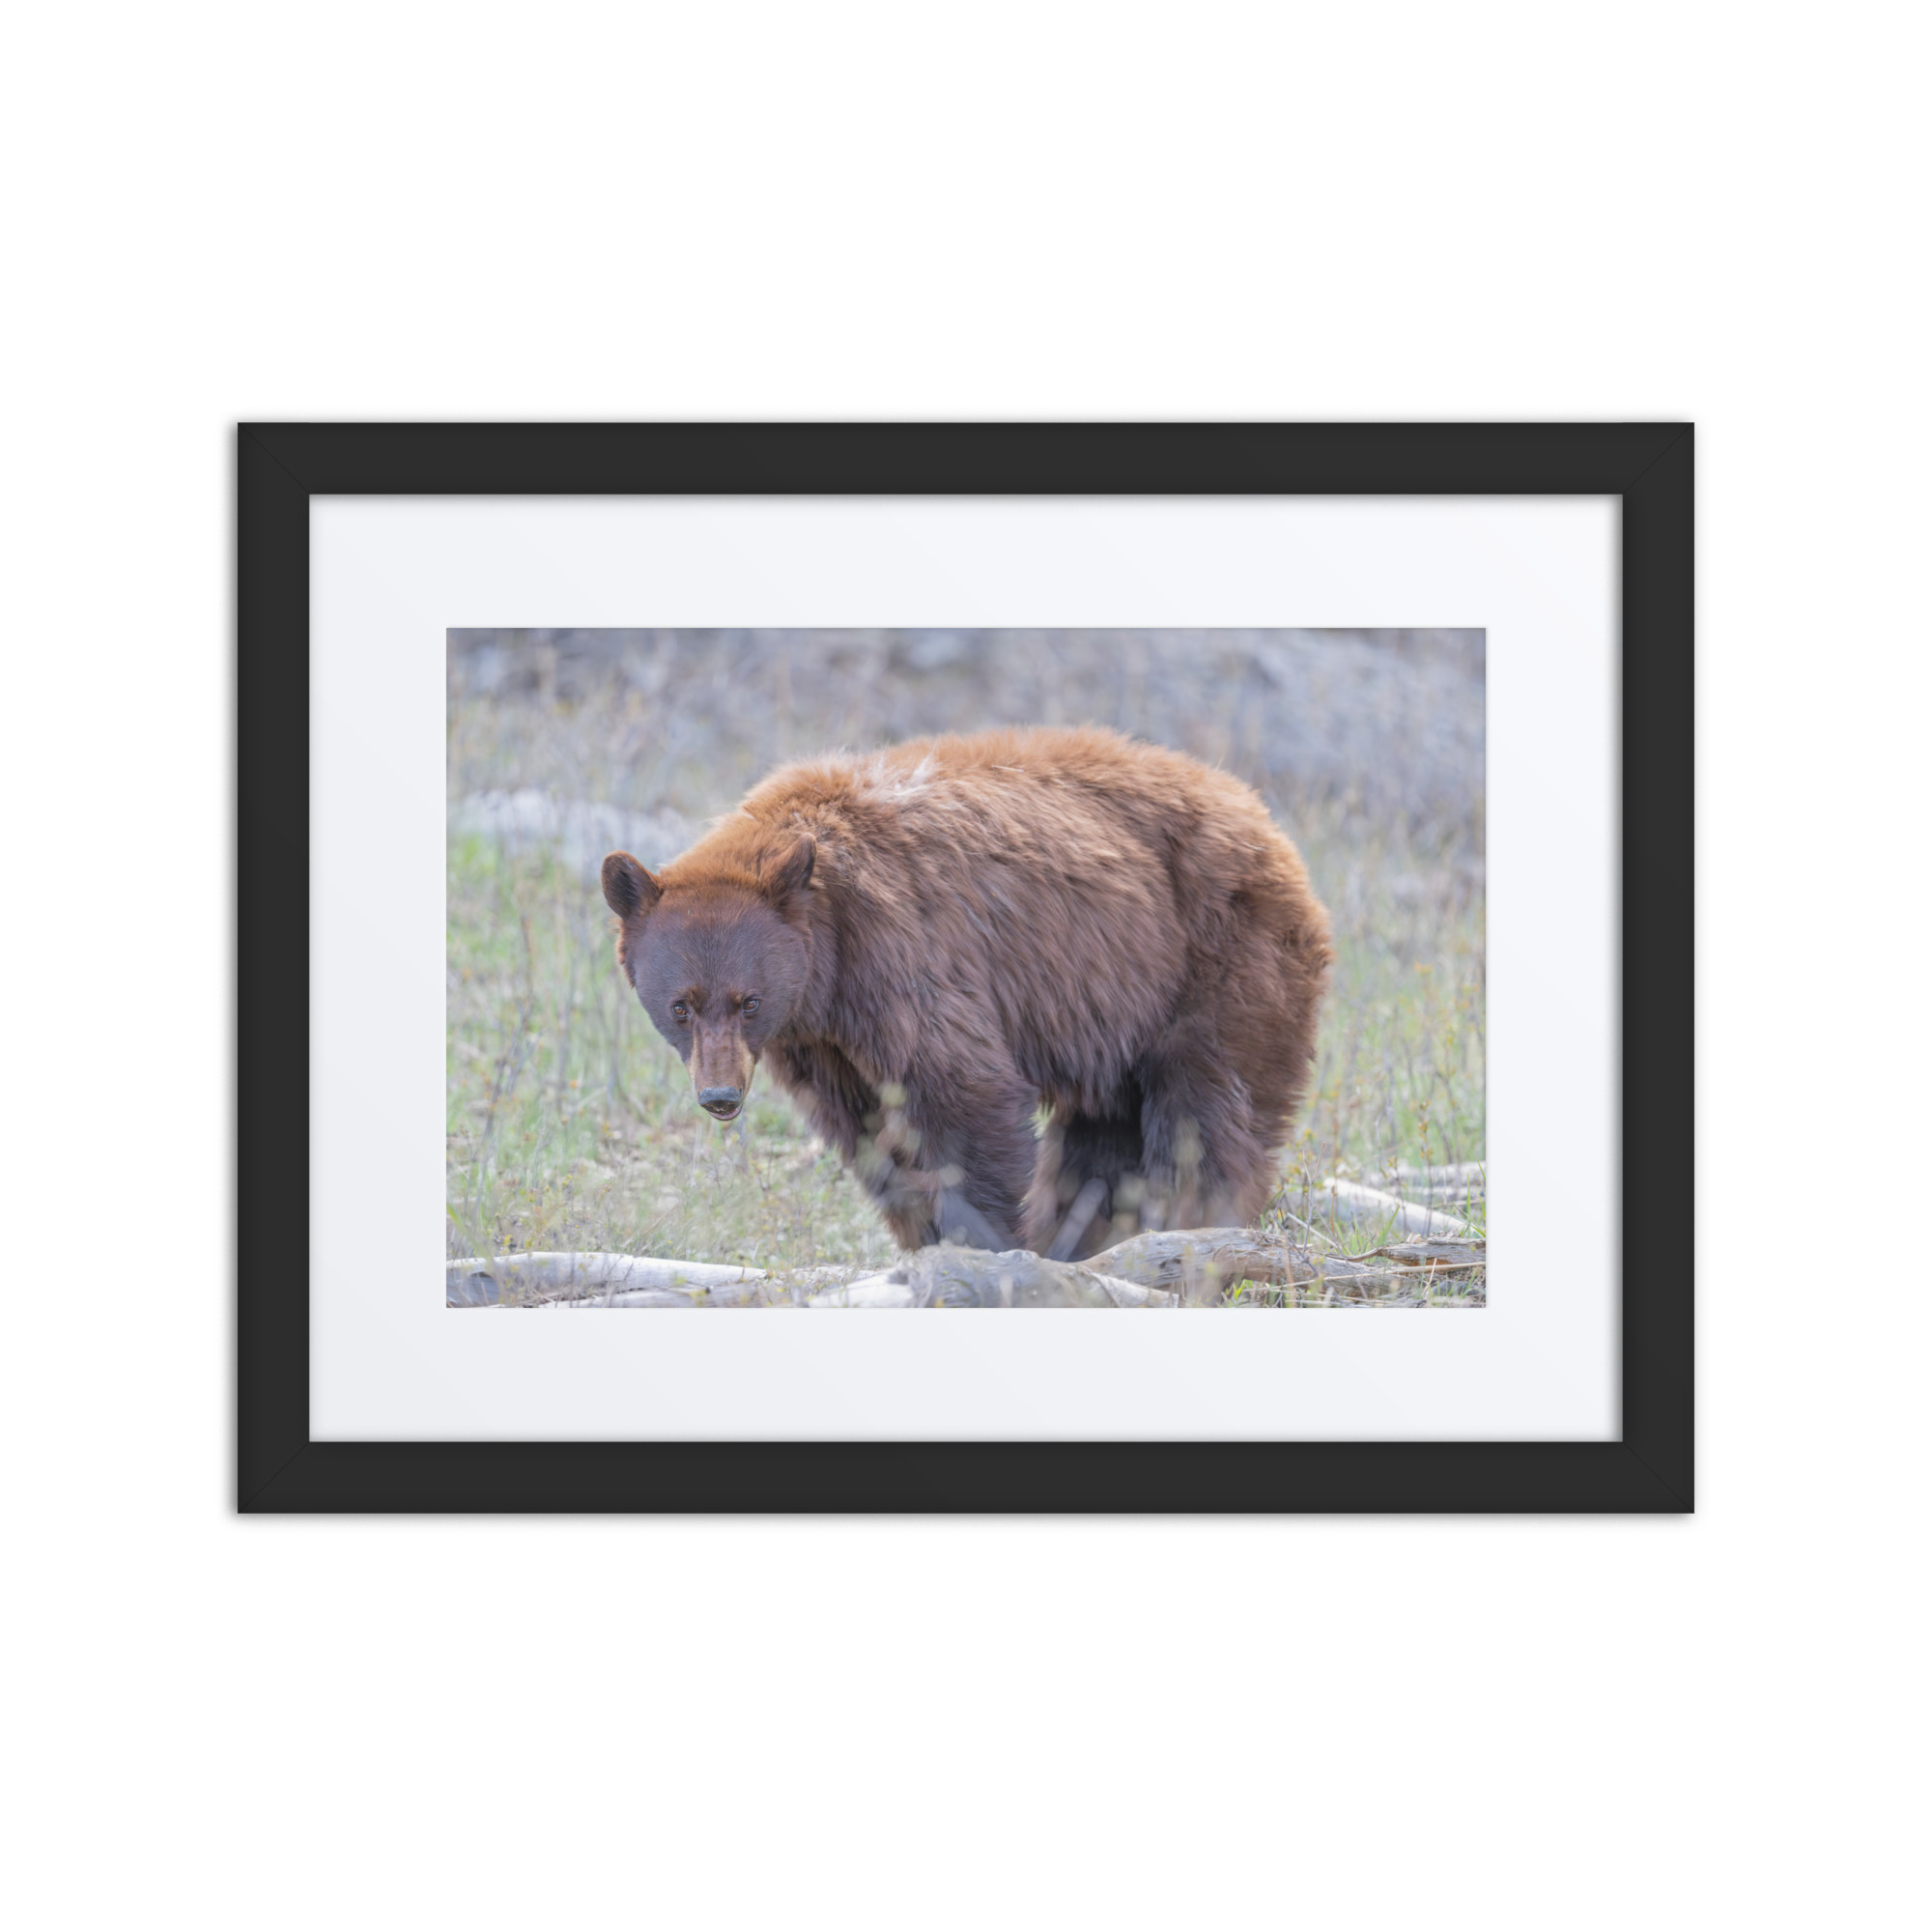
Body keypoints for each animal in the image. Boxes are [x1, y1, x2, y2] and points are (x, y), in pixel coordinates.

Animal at [600, 725, 1333, 1260]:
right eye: (681, 1006)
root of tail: (1263, 817)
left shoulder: (904, 955)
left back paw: (1189, 1224)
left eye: (748, 1001)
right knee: (1103, 1134)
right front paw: (926, 1238)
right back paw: (1088, 1236)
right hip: (1118, 1008)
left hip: (1216, 958)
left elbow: (963, 1095)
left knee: (1206, 1111)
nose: (720, 1096)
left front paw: (983, 1243)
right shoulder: (821, 1042)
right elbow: (870, 1132)